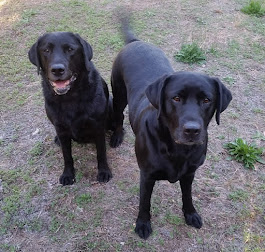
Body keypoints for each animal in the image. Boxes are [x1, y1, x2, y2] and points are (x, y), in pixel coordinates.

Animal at [28, 32, 112, 185]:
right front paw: (68, 174)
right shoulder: (61, 129)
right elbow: (67, 156)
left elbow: (101, 153)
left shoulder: (98, 127)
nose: (57, 70)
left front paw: (103, 171)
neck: (70, 97)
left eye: (70, 49)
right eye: (46, 50)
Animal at [109, 19, 231, 238]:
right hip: (119, 94)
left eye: (206, 100)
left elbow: (187, 195)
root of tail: (135, 41)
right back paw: (116, 136)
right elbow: (144, 202)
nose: (192, 130)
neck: (177, 149)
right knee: (119, 114)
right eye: (176, 98)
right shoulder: (147, 175)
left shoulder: (190, 173)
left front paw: (191, 214)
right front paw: (143, 224)